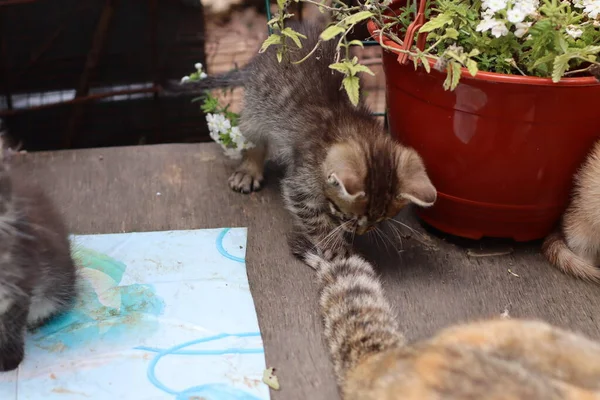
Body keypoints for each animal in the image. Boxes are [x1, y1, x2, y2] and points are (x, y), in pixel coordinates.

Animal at [164, 21, 436, 260]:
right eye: (347, 214)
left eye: (380, 219)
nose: (360, 231)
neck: (349, 126)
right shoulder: (301, 181)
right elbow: (313, 215)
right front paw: (334, 244)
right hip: (257, 105)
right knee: (253, 138)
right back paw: (248, 170)